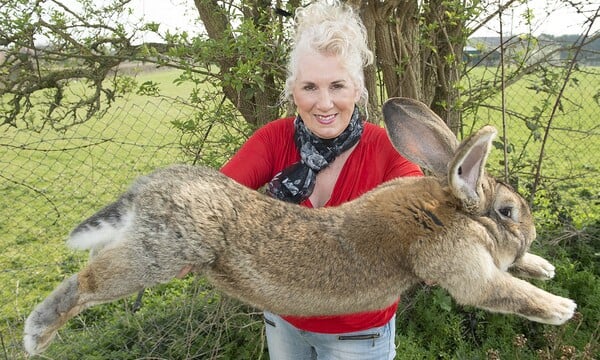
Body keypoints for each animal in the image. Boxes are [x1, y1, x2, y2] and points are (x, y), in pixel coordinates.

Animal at [24, 97, 576, 356]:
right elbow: (502, 291)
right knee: (86, 282)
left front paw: (543, 266)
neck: (448, 209)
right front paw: (561, 307)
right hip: (158, 256)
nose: (530, 233)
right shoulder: (463, 268)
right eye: (508, 212)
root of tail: (146, 190)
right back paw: (36, 335)